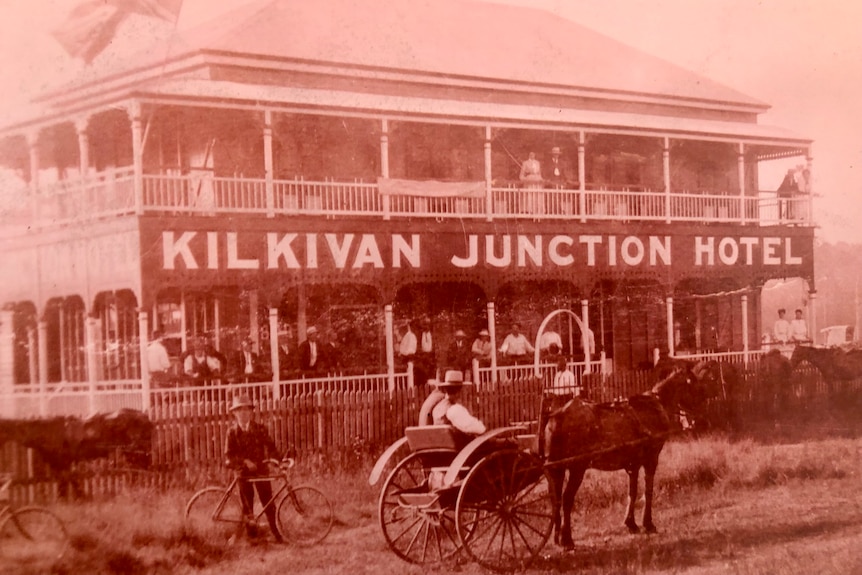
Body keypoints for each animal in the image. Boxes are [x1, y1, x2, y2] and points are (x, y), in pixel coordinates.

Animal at [0, 410, 152, 500]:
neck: (46, 431)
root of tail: (145, 416)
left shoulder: (63, 462)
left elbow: (67, 483)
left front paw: (77, 498)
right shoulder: (58, 464)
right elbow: (68, 482)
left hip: (136, 453)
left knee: (141, 471)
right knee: (137, 472)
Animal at [544, 368, 704, 548]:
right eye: (696, 386)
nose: (700, 417)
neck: (655, 406)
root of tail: (558, 415)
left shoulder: (633, 464)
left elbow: (632, 492)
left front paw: (631, 523)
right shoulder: (651, 459)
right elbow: (648, 491)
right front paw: (648, 523)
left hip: (557, 469)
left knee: (556, 500)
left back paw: (557, 537)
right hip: (577, 468)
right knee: (566, 499)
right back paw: (567, 539)